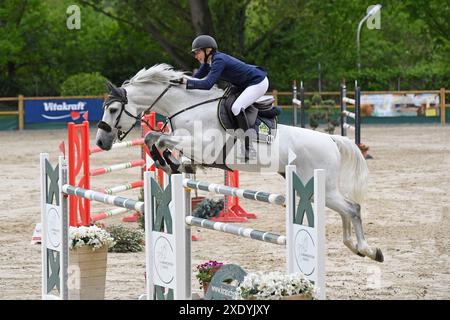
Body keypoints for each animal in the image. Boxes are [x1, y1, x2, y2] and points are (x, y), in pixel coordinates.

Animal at [95, 63, 384, 262]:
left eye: (113, 109)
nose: (101, 141)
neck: (186, 107)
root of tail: (331, 140)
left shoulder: (204, 147)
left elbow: (158, 137)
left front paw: (169, 163)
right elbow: (155, 139)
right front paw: (173, 164)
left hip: (318, 185)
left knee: (353, 208)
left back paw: (369, 250)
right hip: (315, 189)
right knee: (347, 210)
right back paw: (357, 248)